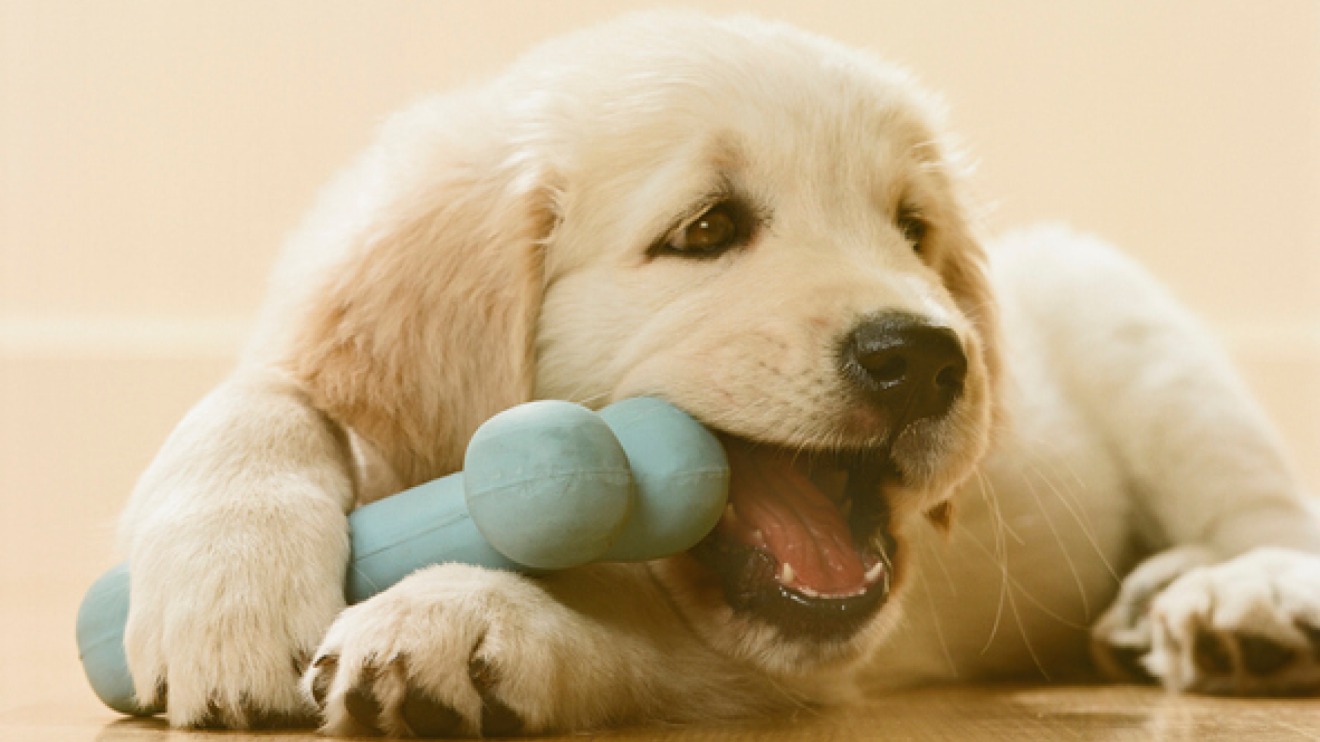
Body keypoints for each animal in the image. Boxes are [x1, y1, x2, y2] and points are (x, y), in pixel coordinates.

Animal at [116, 11, 1320, 734]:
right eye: (707, 229)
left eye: (913, 231)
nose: (928, 357)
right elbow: (264, 391)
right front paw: (228, 586)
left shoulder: (787, 668)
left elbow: (630, 635)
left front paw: (464, 615)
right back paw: (1148, 605)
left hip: (1135, 328)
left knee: (1265, 510)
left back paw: (1240, 597)